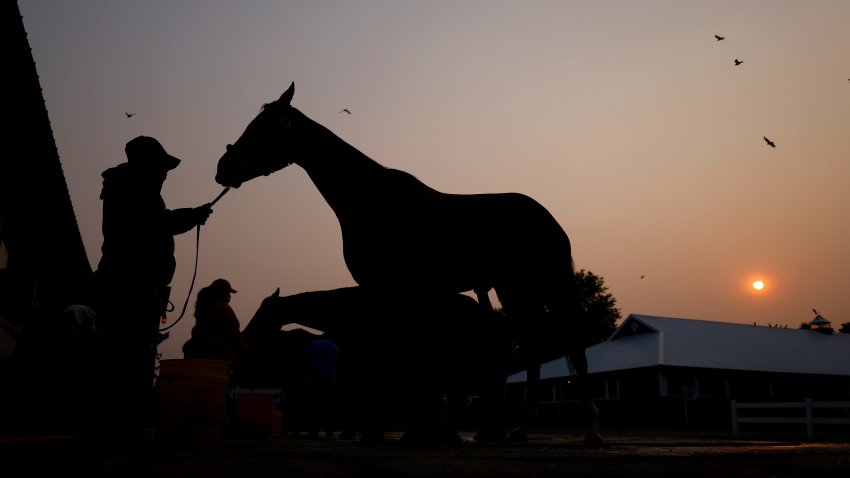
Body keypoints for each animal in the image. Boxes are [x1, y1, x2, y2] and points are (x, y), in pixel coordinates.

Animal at [215, 83, 600, 444]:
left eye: (261, 126)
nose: (223, 168)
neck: (370, 200)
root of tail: (549, 220)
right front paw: (414, 430)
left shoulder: (388, 292)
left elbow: (400, 362)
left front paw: (399, 431)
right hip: (514, 291)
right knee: (532, 350)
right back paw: (518, 429)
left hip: (554, 286)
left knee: (575, 347)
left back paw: (589, 432)